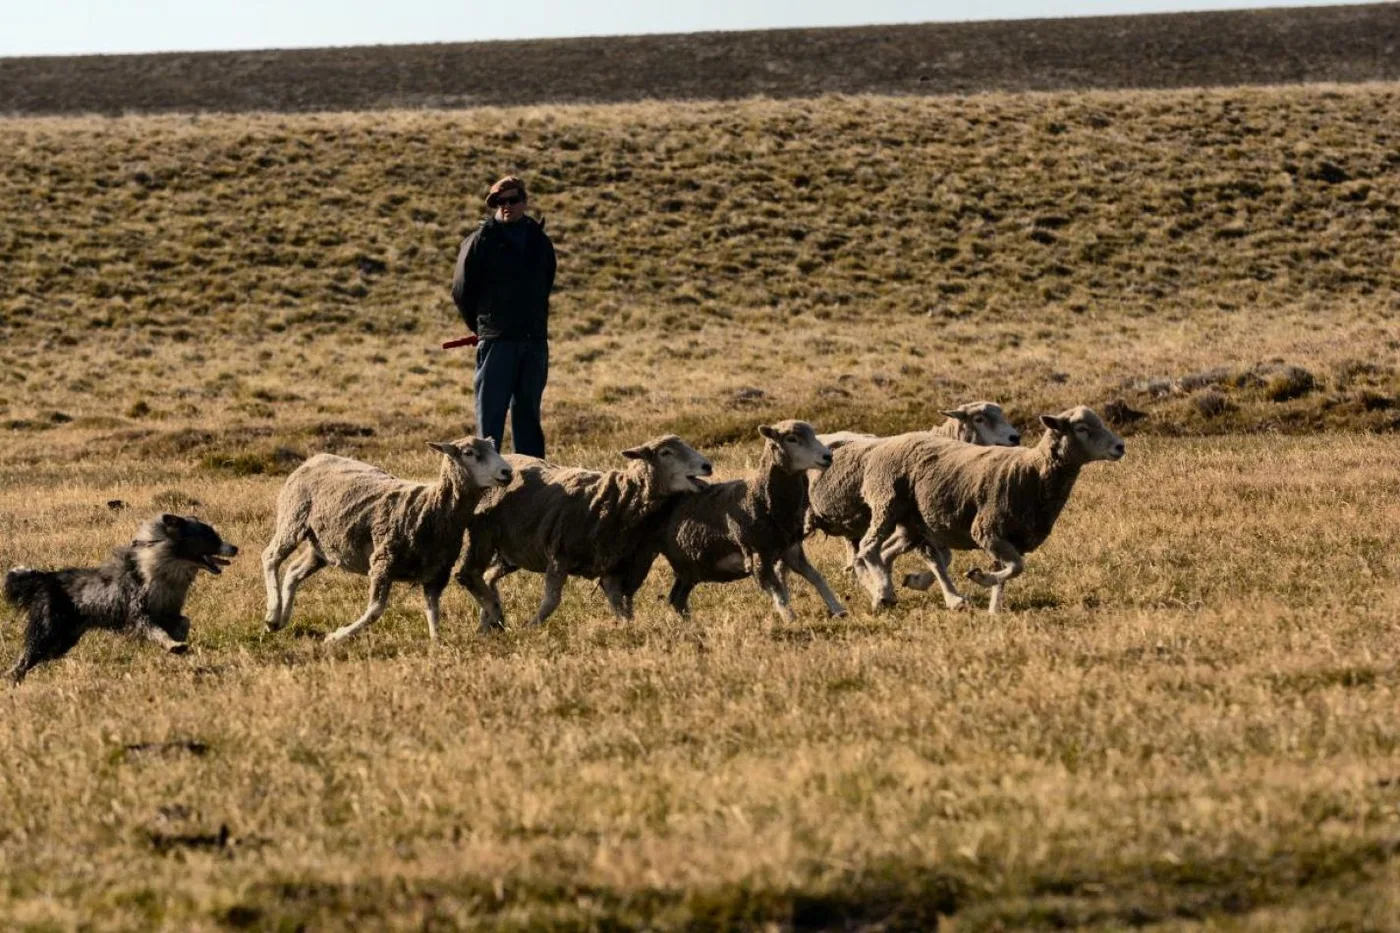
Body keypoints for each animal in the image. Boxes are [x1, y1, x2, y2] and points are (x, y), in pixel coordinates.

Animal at [260, 434, 512, 638]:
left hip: (323, 546)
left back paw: (280, 620)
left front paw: (436, 644)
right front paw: (337, 636)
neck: (431, 509)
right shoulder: (383, 562)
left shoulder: (436, 574)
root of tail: (316, 458)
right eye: (469, 453)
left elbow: (433, 614)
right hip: (293, 517)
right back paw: (272, 613)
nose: (507, 472)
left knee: (293, 571)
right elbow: (375, 611)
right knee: (270, 557)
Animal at [652, 417, 840, 622]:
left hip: (690, 570)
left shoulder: (791, 550)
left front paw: (839, 610)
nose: (828, 456)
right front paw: (792, 622)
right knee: (676, 598)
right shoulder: (758, 557)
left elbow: (816, 578)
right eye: (791, 439)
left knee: (677, 598)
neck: (760, 498)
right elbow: (780, 595)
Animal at [806, 400, 1024, 607]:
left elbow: (941, 557)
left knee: (857, 551)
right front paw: (953, 598)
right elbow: (935, 559)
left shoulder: (916, 527)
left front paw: (909, 581)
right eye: (979, 419)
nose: (1015, 438)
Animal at [845, 406, 1120, 610]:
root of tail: (889, 442)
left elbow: (1008, 572)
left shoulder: (1007, 538)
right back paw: (885, 592)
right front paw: (980, 578)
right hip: (887, 504)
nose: (1120, 446)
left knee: (885, 553)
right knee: (869, 547)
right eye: (1081, 428)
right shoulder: (987, 530)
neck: (1030, 471)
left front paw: (994, 608)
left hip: (912, 523)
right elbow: (1017, 568)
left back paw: (889, 588)